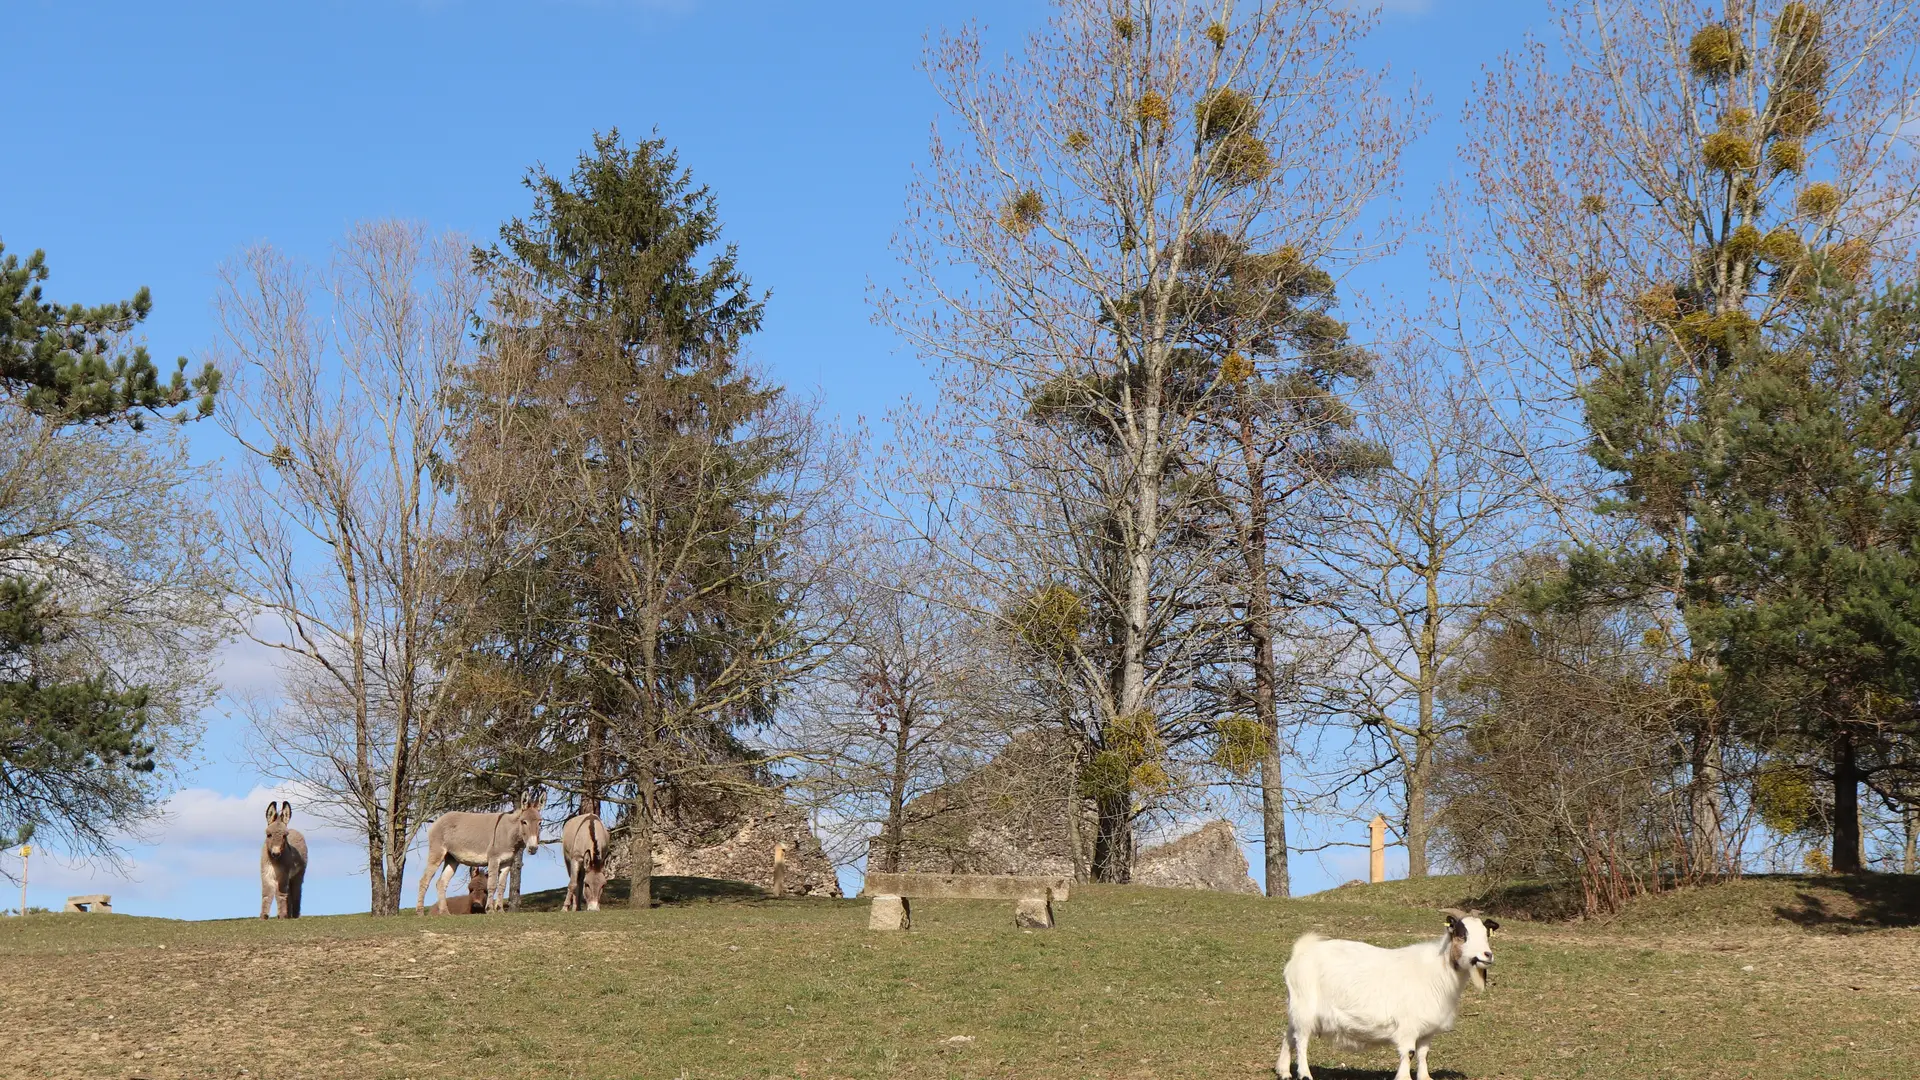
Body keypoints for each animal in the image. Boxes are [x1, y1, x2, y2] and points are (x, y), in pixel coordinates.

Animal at [1274, 907, 1497, 1076]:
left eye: (1486, 934)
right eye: (1462, 934)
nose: (1487, 955)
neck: (1437, 970)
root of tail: (1300, 953)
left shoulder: (1428, 1030)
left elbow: (1423, 1054)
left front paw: (1425, 1077)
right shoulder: (1408, 1026)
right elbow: (1409, 1053)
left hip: (1297, 1009)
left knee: (1289, 1034)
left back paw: (1284, 1071)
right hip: (1305, 1009)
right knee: (1301, 1041)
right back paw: (1304, 1074)